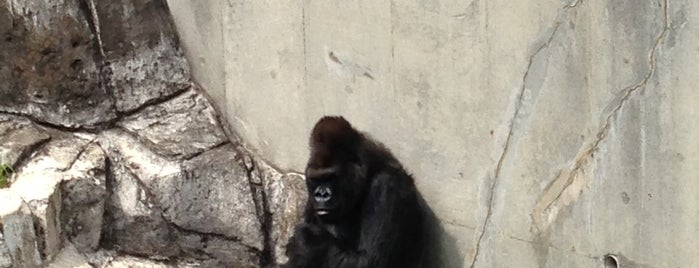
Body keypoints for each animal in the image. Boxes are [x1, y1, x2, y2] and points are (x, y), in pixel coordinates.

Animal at [284, 115, 426, 268]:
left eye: (331, 177)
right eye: (316, 179)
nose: (321, 195)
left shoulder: (388, 186)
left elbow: (369, 261)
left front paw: (309, 242)